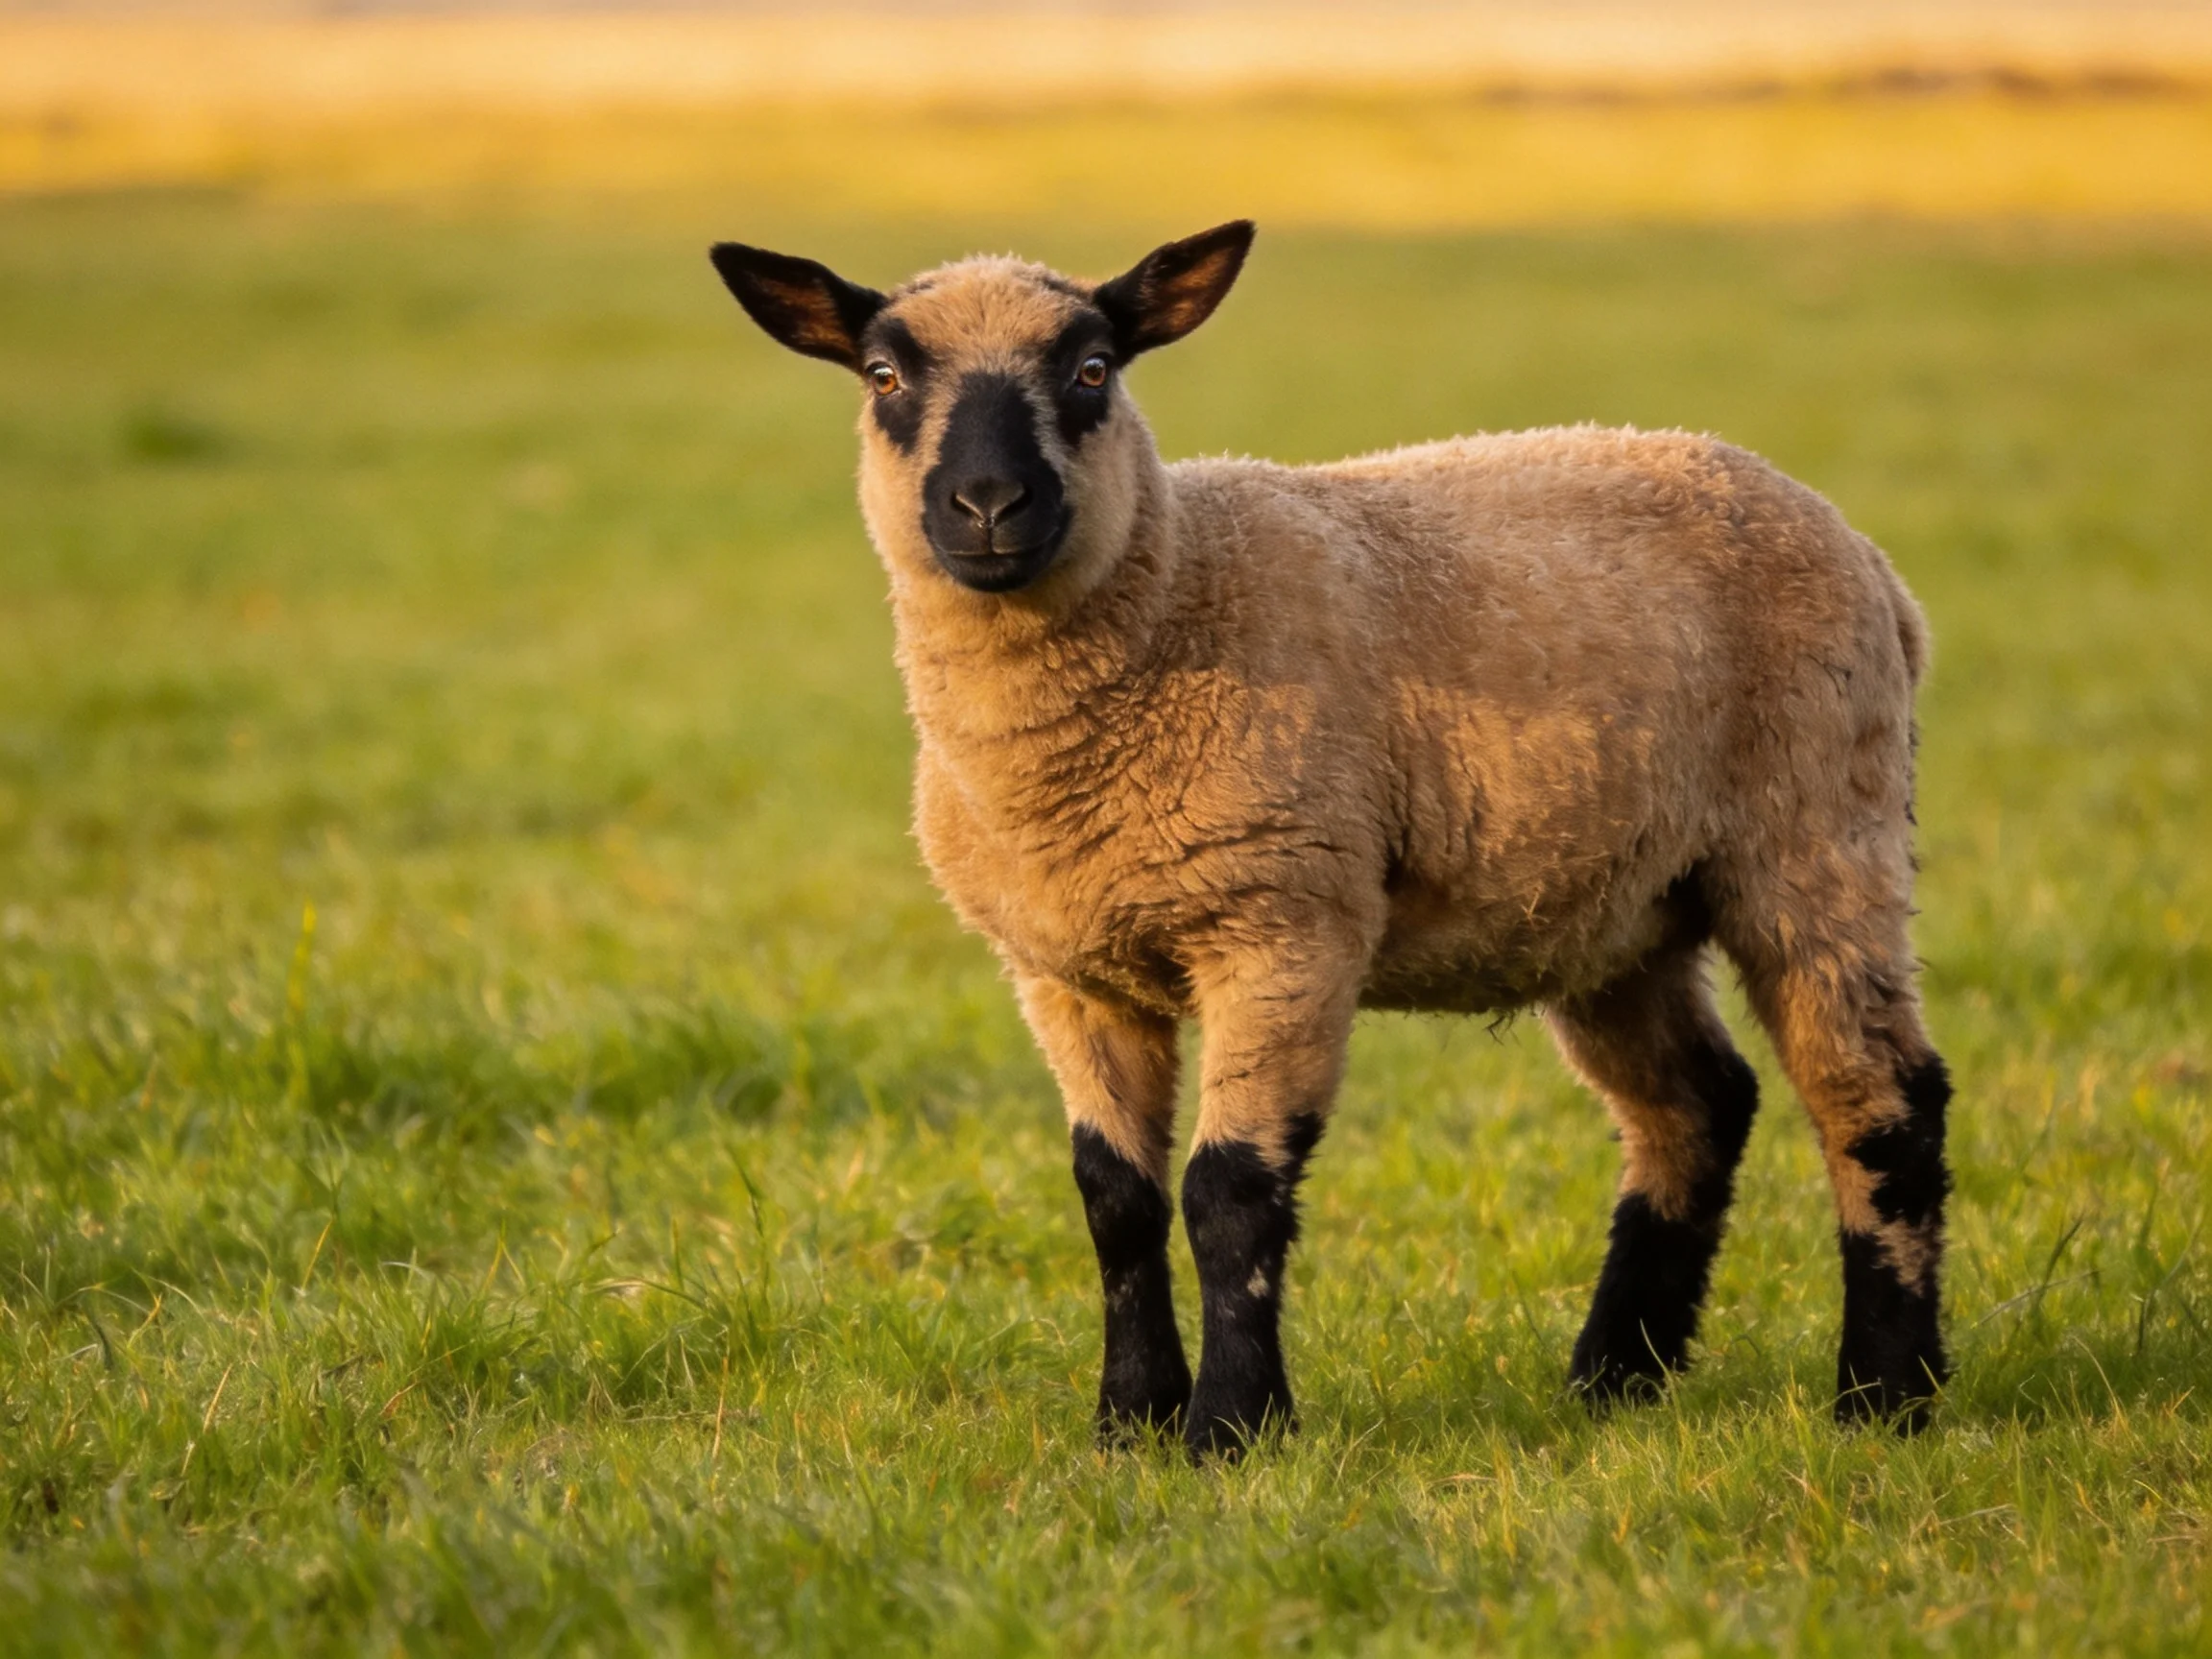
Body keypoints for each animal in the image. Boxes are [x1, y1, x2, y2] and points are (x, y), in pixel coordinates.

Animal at [709, 221, 1953, 1458]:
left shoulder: (1284, 923)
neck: (1176, 595)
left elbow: (1228, 1193)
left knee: (1880, 1100)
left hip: (1817, 827)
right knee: (1696, 1105)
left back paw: (1886, 1396)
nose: (988, 504)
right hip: (1613, 906)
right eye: (884, 377)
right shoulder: (1065, 969)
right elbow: (1114, 1198)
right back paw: (1613, 1381)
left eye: (1093, 370)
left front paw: (1232, 1428)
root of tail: (1872, 564)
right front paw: (1129, 1422)